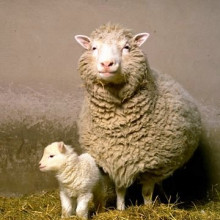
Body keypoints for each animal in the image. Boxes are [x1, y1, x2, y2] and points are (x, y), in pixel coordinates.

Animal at [75, 23, 202, 211]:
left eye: (127, 47)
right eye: (94, 48)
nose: (107, 64)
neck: (120, 126)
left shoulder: (154, 166)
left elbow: (147, 192)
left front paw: (149, 209)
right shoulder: (116, 160)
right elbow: (120, 190)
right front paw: (120, 210)